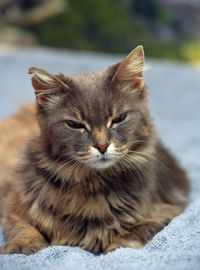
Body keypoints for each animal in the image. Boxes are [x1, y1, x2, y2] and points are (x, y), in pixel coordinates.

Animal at [0, 45, 189, 254]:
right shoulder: (14, 204)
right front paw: (22, 246)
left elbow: (136, 231)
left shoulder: (169, 211)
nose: (102, 145)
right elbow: (23, 228)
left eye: (118, 119)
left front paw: (116, 248)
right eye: (75, 125)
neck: (91, 183)